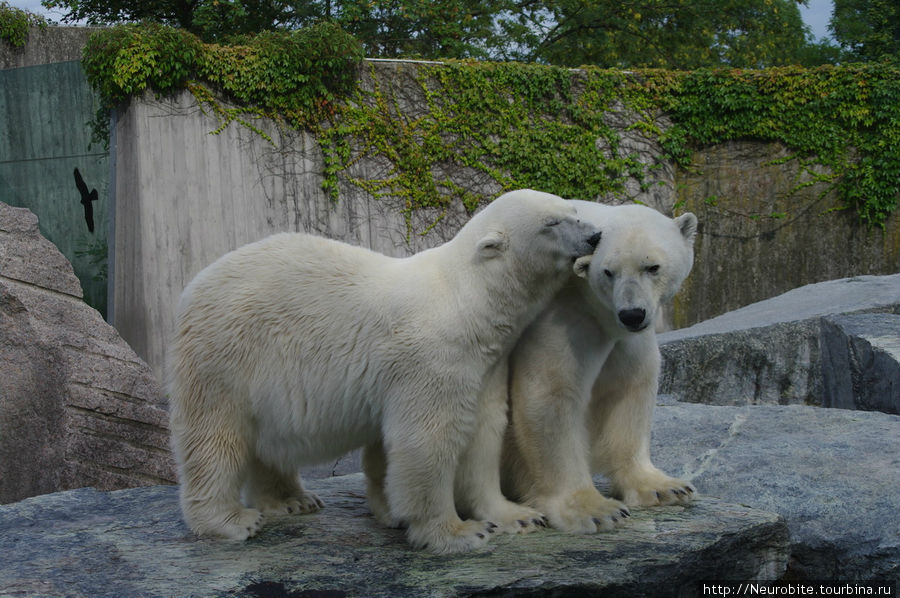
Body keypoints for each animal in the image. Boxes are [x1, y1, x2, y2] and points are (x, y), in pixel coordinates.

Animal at [169, 190, 604, 556]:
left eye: (574, 210)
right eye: (551, 222)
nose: (596, 236)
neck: (467, 301)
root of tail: (195, 285)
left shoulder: (486, 364)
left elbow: (483, 432)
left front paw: (517, 516)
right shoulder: (434, 356)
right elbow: (428, 438)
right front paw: (456, 533)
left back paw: (292, 500)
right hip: (228, 355)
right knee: (215, 437)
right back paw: (230, 521)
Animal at [502, 202, 700, 536]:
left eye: (652, 267)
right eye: (608, 272)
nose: (632, 314)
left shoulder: (627, 339)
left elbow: (631, 386)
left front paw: (665, 487)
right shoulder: (563, 317)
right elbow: (551, 394)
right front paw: (594, 510)